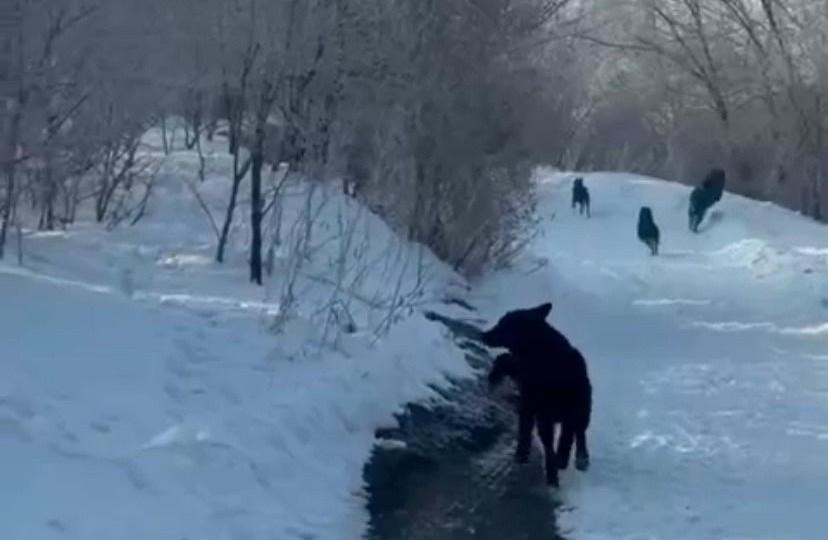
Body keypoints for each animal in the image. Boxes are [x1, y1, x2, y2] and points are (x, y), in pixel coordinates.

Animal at [482, 302, 592, 488]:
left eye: (502, 325)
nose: (483, 335)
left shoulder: (530, 404)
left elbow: (526, 431)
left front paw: (523, 455)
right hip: (578, 409)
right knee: (575, 434)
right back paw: (572, 460)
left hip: (555, 414)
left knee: (562, 440)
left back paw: (557, 471)